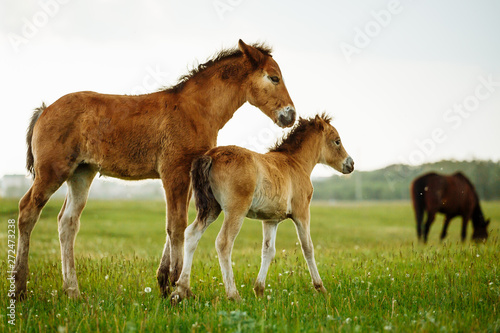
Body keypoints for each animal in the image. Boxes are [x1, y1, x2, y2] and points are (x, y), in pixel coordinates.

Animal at [12, 39, 296, 298]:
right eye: (274, 77)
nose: (290, 115)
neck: (195, 109)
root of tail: (45, 109)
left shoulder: (187, 174)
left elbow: (177, 224)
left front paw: (165, 283)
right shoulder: (174, 170)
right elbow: (177, 225)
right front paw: (177, 287)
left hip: (81, 173)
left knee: (67, 222)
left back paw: (72, 291)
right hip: (52, 170)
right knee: (27, 211)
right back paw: (20, 288)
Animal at [172, 113, 356, 300]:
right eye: (337, 141)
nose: (351, 164)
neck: (295, 162)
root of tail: (211, 155)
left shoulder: (270, 220)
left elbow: (268, 250)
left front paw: (259, 290)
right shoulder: (302, 213)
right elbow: (307, 247)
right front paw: (320, 288)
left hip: (211, 209)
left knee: (192, 234)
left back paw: (182, 290)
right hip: (235, 211)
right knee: (224, 242)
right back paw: (233, 295)